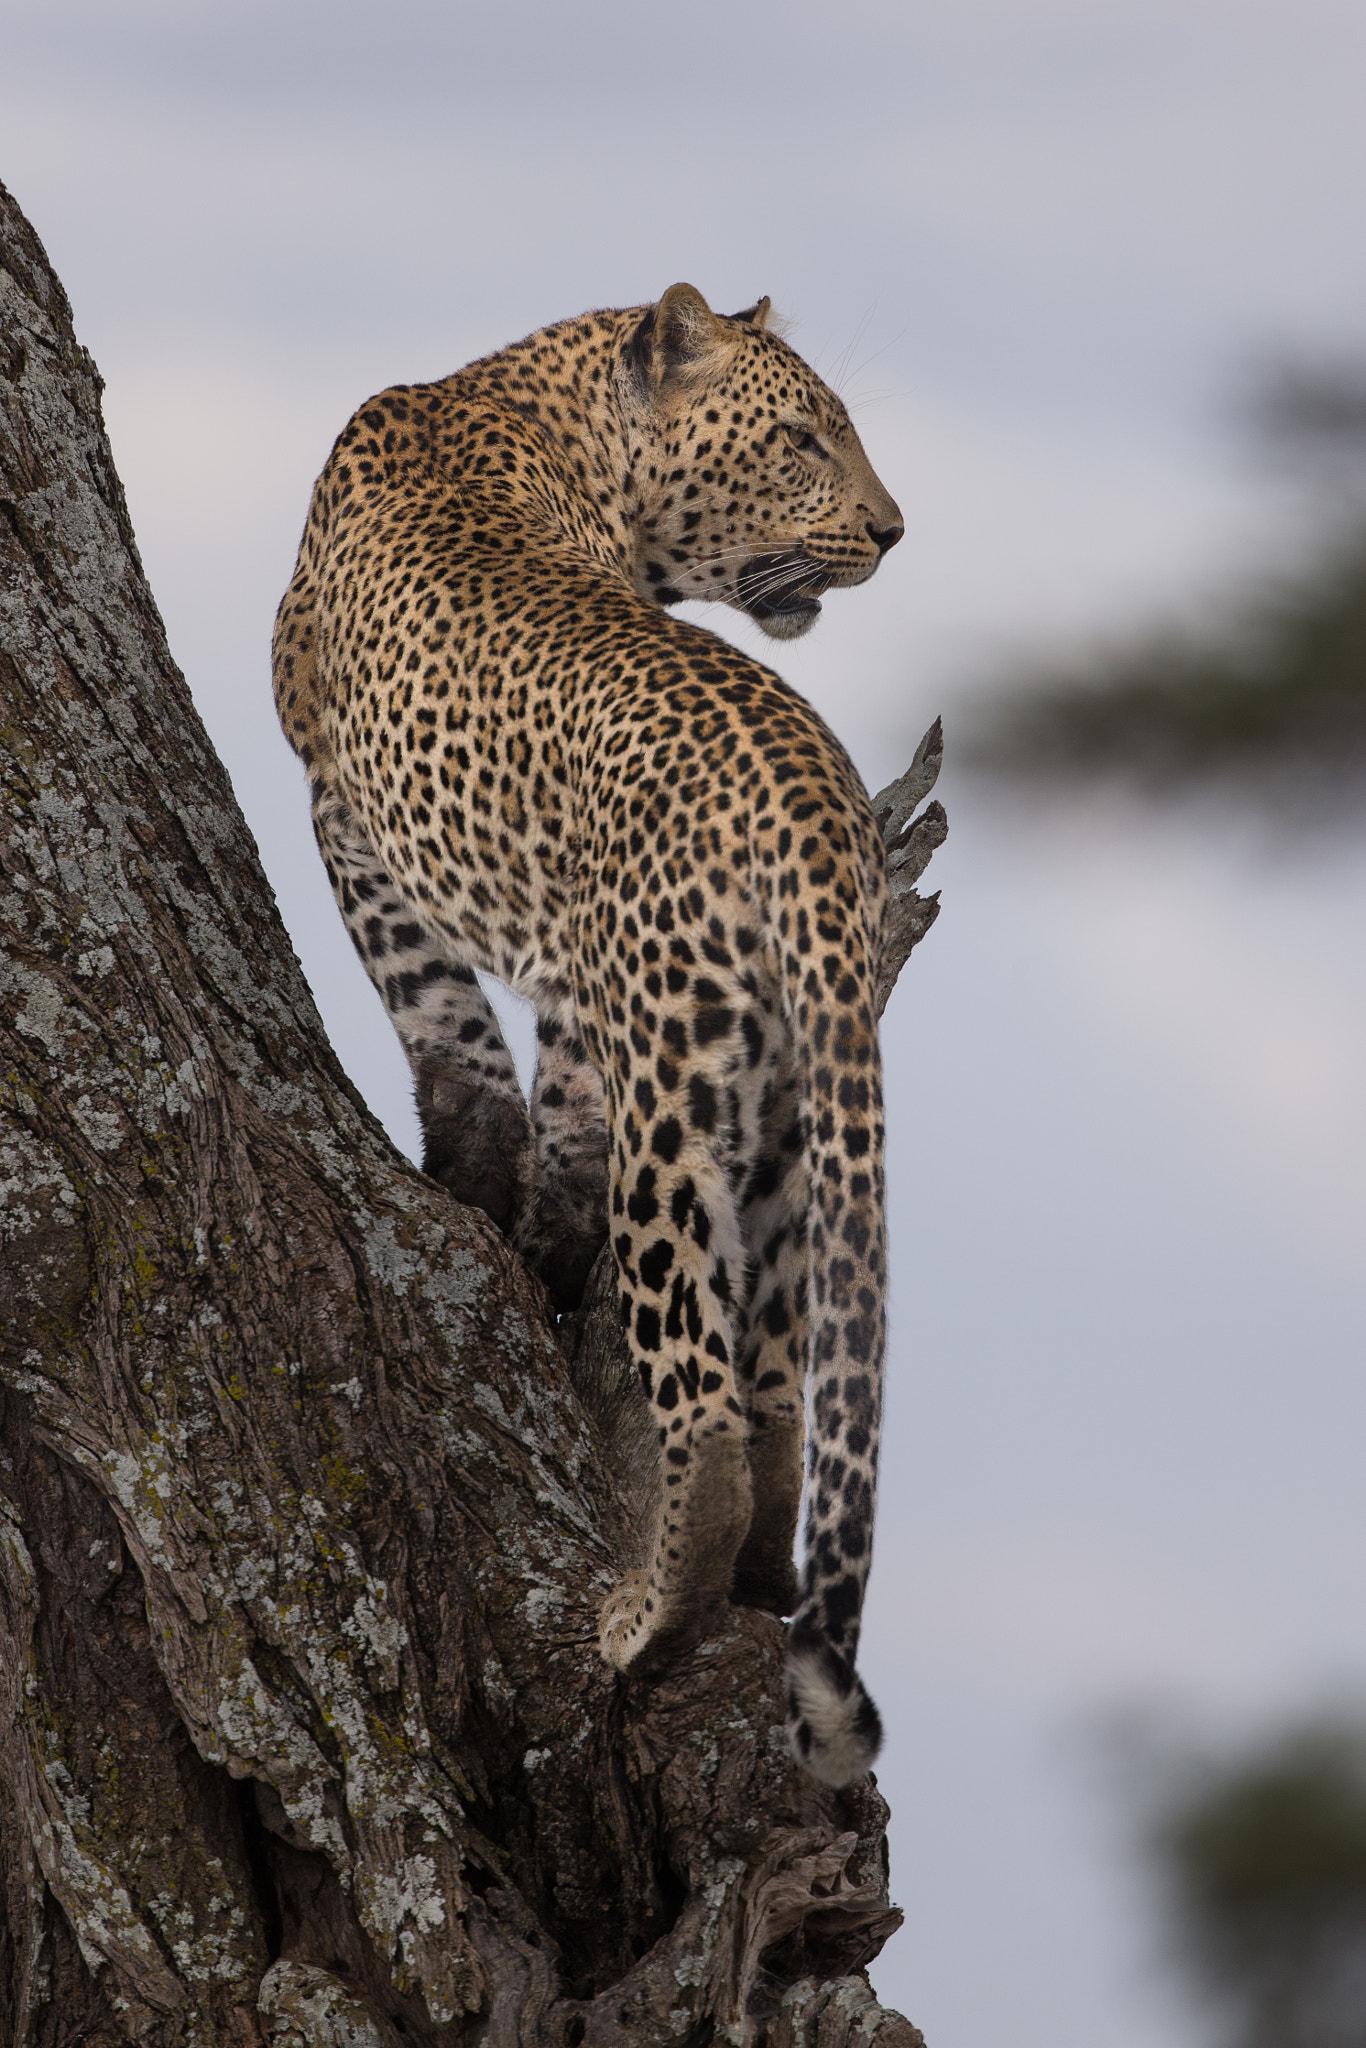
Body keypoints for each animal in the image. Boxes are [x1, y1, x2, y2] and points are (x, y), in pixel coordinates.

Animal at [273, 283, 904, 1787]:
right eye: (801, 436)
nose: (892, 530)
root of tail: (812, 789)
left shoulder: (341, 807)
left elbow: (446, 1027)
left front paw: (465, 1184)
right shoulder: (572, 950)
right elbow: (555, 1097)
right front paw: (540, 1238)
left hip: (679, 1079)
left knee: (705, 1396)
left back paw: (650, 1618)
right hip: (787, 1103)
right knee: (780, 1380)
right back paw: (757, 1582)